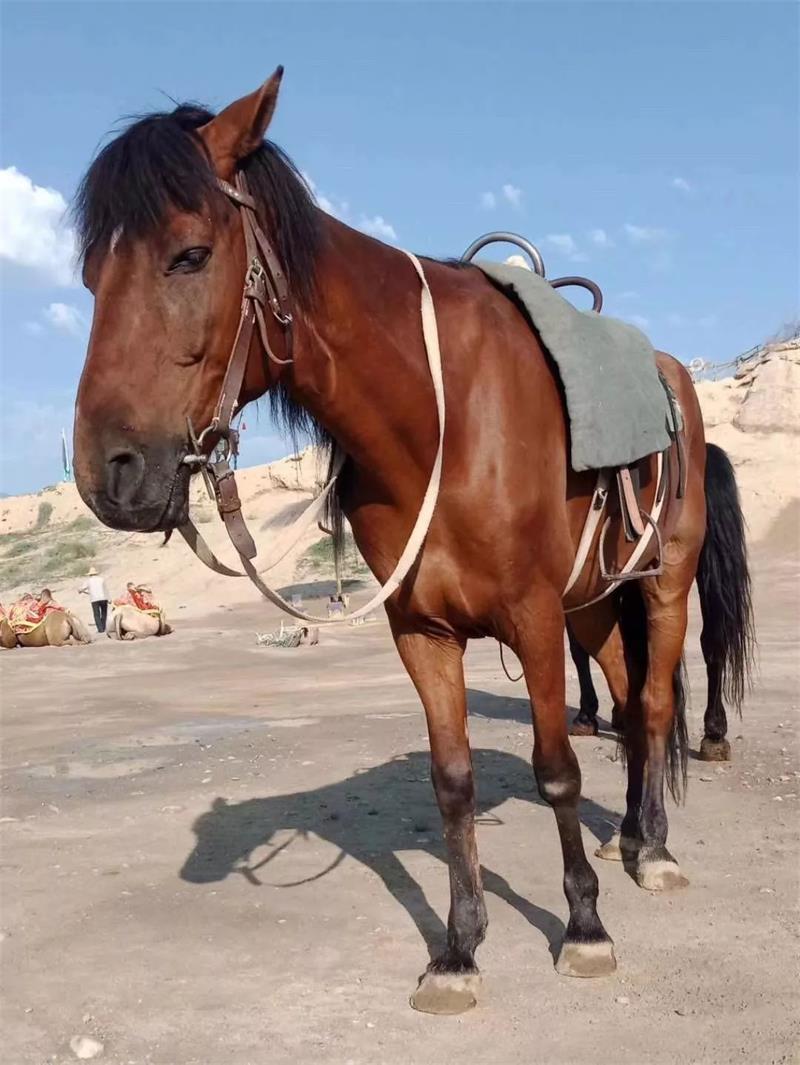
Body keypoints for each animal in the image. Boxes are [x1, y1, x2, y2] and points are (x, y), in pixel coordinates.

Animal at [71, 69, 753, 1014]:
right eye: (90, 274)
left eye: (189, 255)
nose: (109, 471)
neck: (440, 416)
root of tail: (672, 377)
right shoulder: (423, 631)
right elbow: (452, 780)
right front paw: (459, 948)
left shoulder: (532, 616)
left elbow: (554, 768)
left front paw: (583, 925)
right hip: (593, 603)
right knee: (624, 704)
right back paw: (630, 834)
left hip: (662, 584)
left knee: (651, 707)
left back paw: (651, 850)